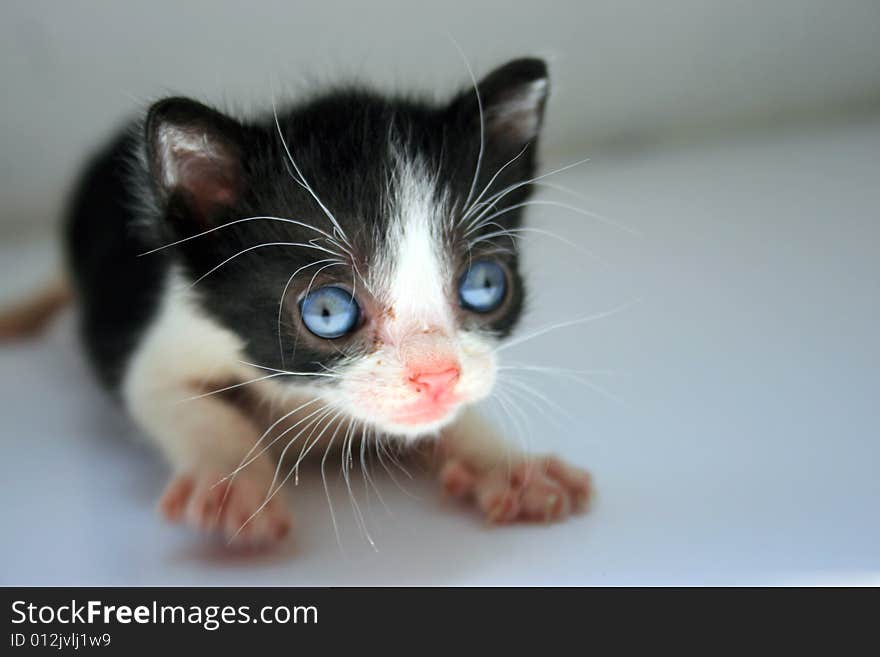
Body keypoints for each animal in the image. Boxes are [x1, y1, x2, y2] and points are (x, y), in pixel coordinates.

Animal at [60, 59, 592, 544]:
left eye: (483, 284)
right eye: (328, 312)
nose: (438, 376)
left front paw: (507, 467)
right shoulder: (169, 330)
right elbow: (170, 395)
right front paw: (234, 481)